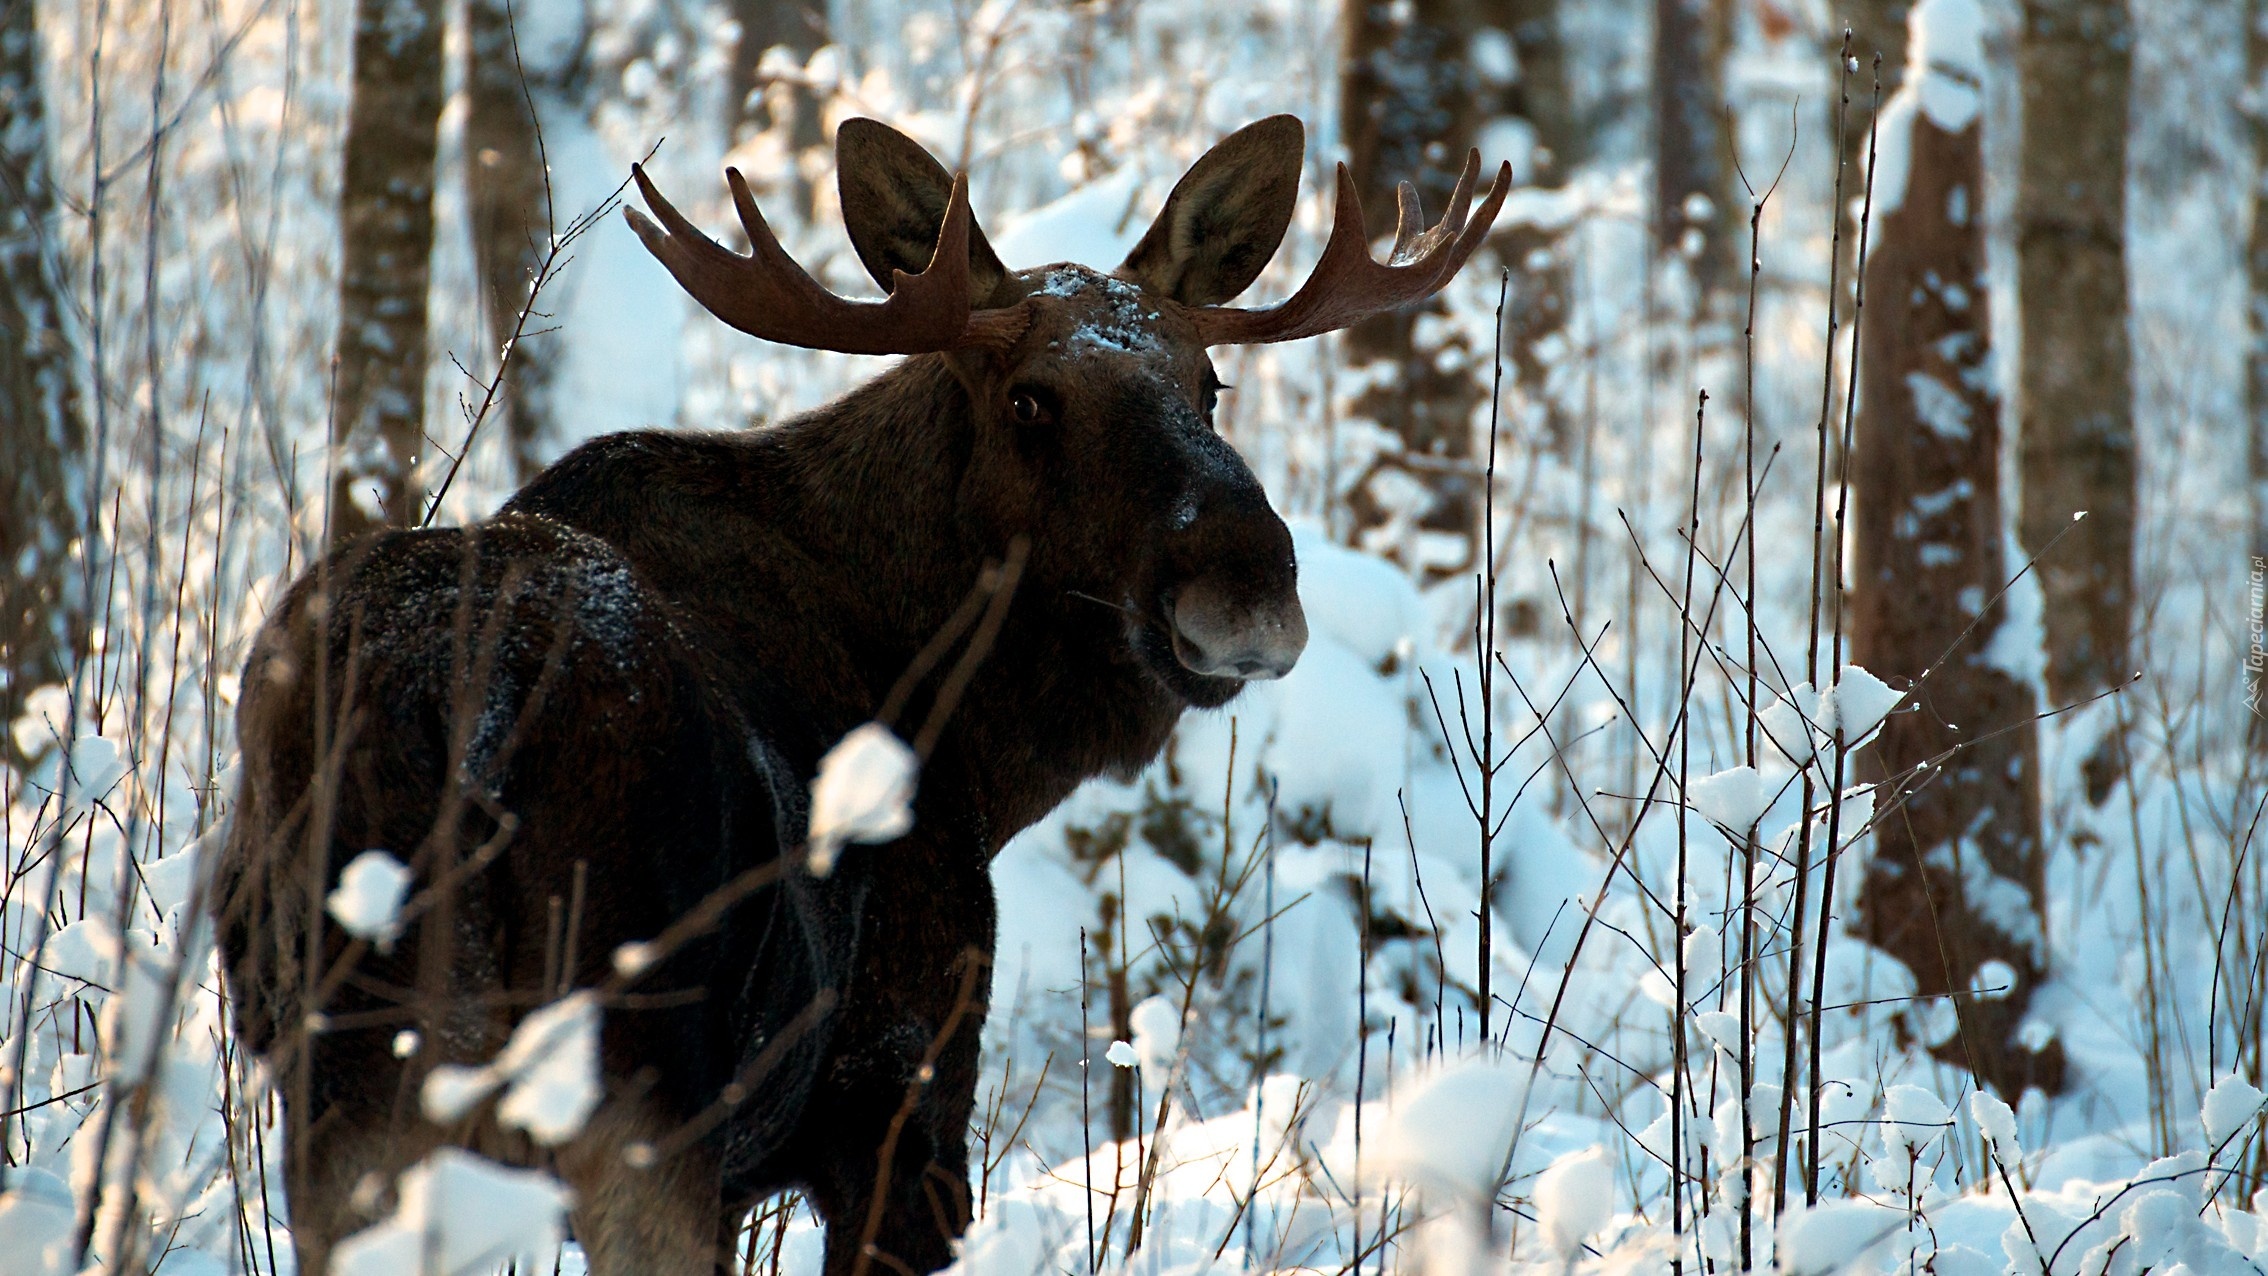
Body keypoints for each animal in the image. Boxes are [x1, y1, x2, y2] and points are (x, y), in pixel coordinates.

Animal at [216, 115, 1505, 1269]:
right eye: (1030, 398)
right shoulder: (902, 1085)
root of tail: (455, 711)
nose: (1248, 586)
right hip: (629, 1090)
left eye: (1211, 380)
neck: (977, 750)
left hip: (349, 1090)